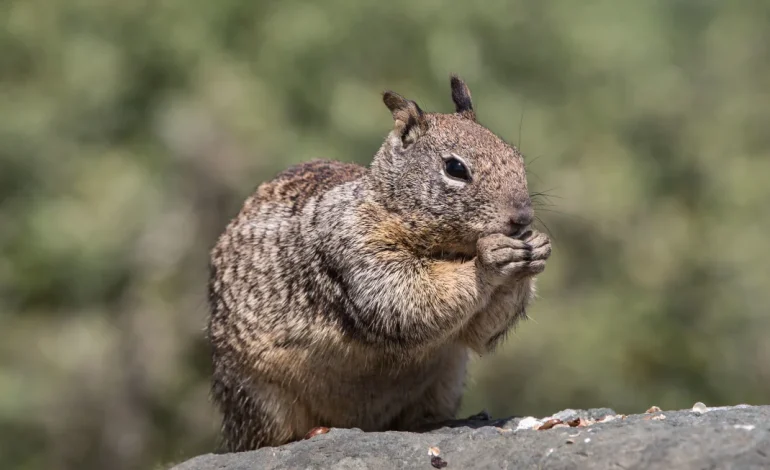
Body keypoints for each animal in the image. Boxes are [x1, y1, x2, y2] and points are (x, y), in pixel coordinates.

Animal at [207, 74, 548, 452]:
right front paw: (489, 259)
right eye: (455, 168)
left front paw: (537, 247)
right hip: (260, 397)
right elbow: (405, 296)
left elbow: (479, 333)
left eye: (515, 155)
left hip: (447, 379)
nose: (522, 217)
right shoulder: (355, 246)